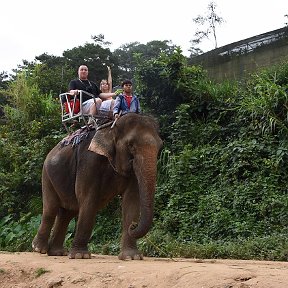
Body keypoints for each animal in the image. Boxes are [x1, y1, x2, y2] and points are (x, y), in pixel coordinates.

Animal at [32, 113, 162, 260]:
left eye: (160, 147)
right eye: (131, 145)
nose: (133, 226)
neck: (110, 128)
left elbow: (132, 200)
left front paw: (132, 257)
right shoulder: (89, 162)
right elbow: (88, 199)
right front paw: (80, 256)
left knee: (67, 213)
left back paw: (57, 253)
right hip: (47, 175)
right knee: (51, 208)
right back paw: (38, 249)